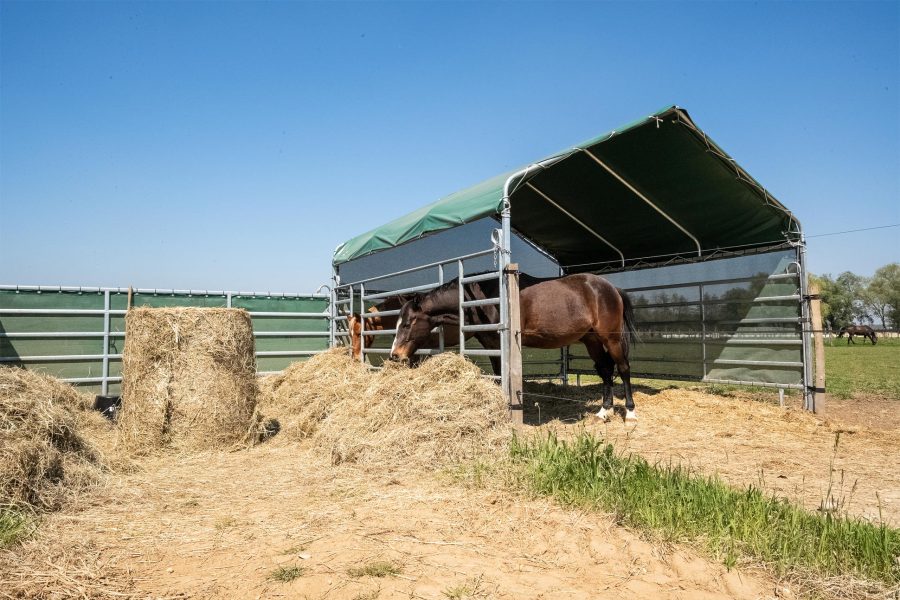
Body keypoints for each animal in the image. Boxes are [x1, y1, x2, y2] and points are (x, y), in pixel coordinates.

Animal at [388, 274, 640, 420]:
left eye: (407, 323)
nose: (395, 356)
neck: (479, 299)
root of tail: (611, 288)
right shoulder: (491, 346)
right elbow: (498, 376)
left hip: (611, 339)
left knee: (623, 368)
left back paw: (630, 412)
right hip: (592, 341)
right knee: (606, 370)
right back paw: (604, 411)